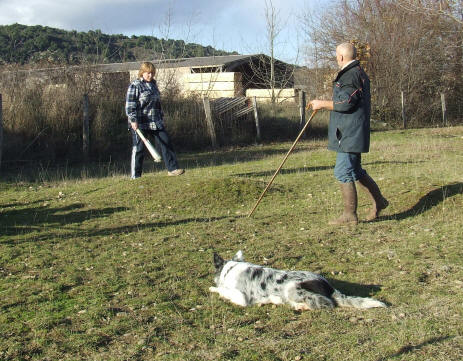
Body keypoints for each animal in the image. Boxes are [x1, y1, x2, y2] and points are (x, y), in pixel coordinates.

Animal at [208, 250, 386, 310]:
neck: (230, 268)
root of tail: (328, 285)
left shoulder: (241, 298)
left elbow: (223, 290)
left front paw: (213, 288)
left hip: (292, 288)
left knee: (327, 303)